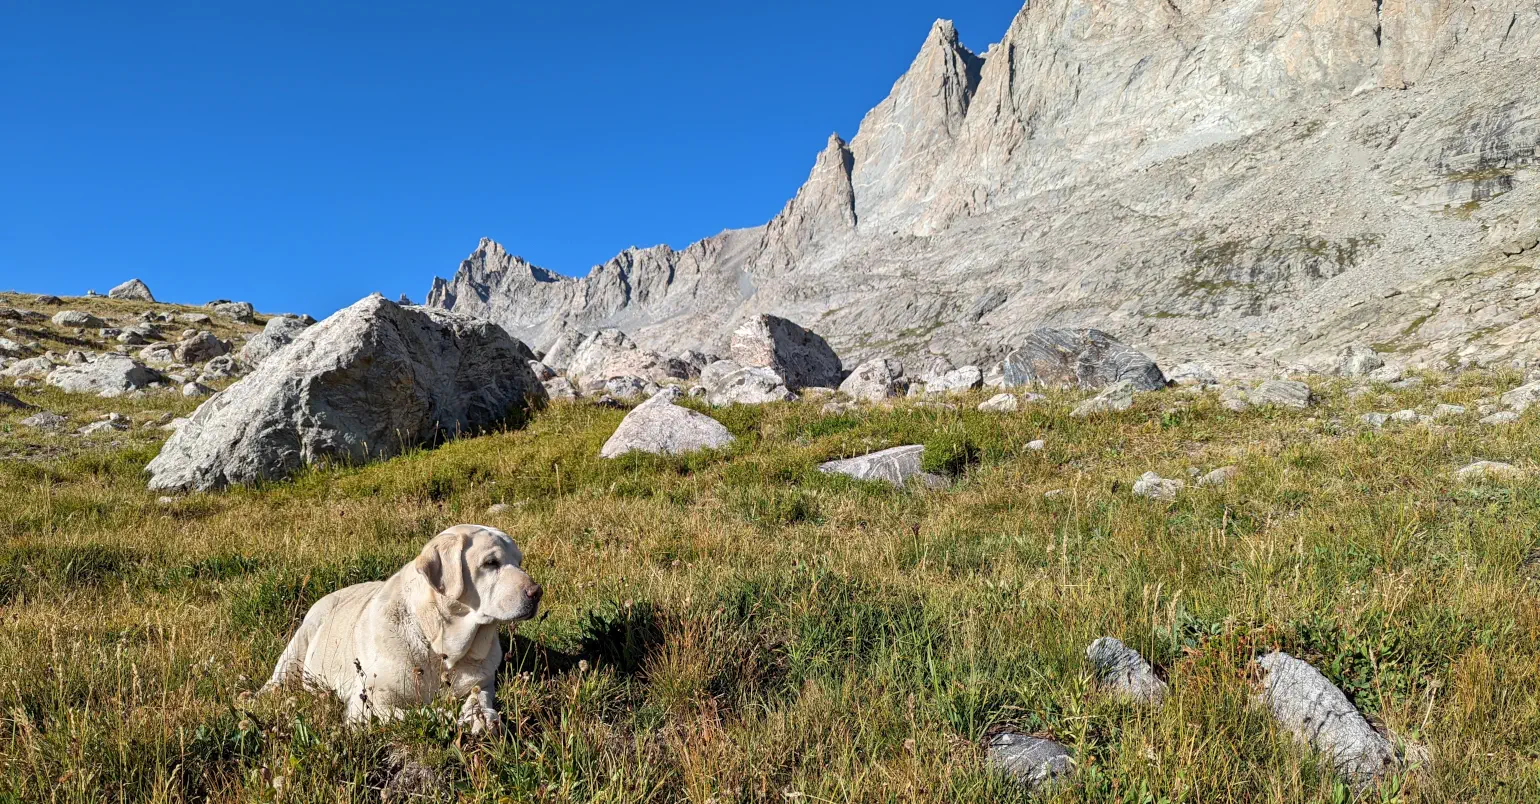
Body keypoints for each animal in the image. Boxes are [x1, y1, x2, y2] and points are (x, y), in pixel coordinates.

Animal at [266, 523, 548, 730]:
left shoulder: (484, 682)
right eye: (491, 563)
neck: (439, 647)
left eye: (520, 562)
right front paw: (448, 716)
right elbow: (411, 713)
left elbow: (479, 697)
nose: (537, 592)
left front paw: (481, 717)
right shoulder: (367, 701)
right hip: (300, 641)